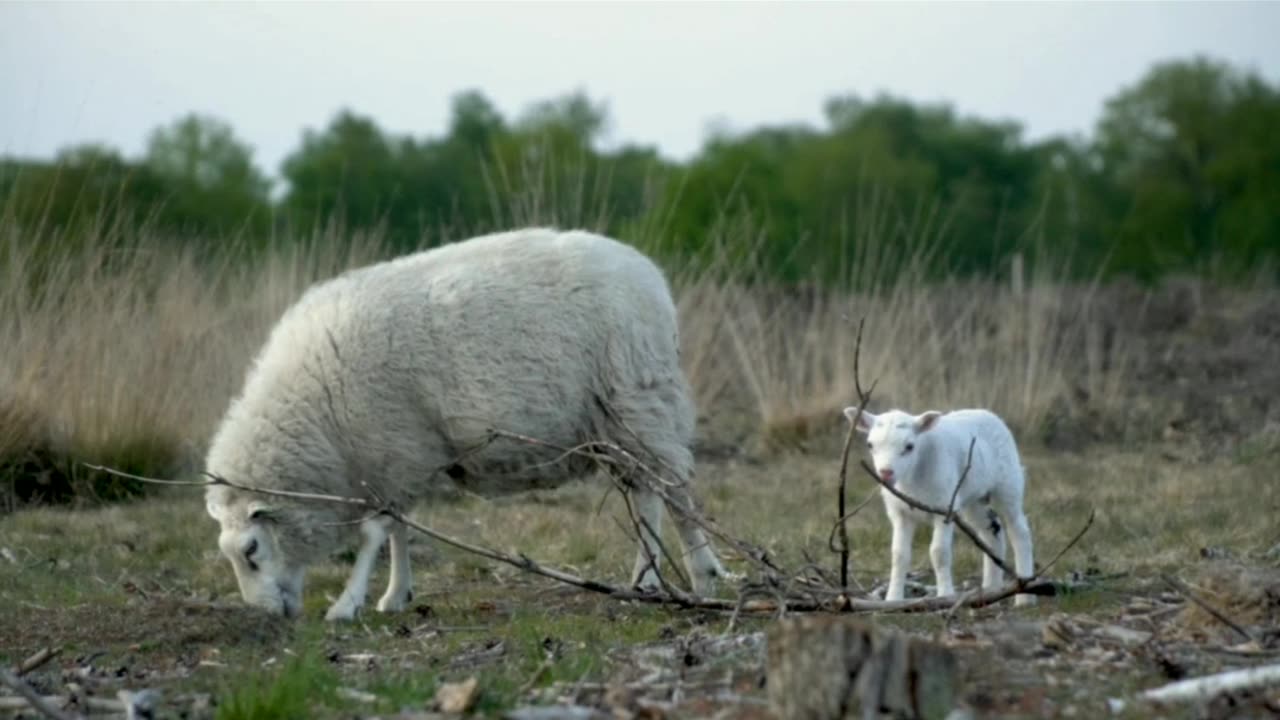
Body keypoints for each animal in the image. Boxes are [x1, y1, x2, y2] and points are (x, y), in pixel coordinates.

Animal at [204, 228, 737, 617]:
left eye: (251, 550)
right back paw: (686, 575)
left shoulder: (394, 450)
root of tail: (650, 276)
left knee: (662, 493)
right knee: (660, 491)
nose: (266, 615)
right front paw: (396, 596)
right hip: (624, 419)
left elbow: (376, 532)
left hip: (633, 400)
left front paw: (348, 604)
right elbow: (398, 530)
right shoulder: (395, 458)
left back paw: (664, 577)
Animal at [839, 407, 1039, 602]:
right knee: (992, 533)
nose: (886, 473)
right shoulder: (899, 512)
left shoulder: (945, 507)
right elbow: (899, 555)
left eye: (909, 446)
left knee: (1019, 531)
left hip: (1008, 484)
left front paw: (945, 595)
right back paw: (991, 590)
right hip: (974, 500)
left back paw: (1024, 595)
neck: (912, 477)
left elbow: (939, 552)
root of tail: (988, 413)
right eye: (870, 445)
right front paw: (893, 598)